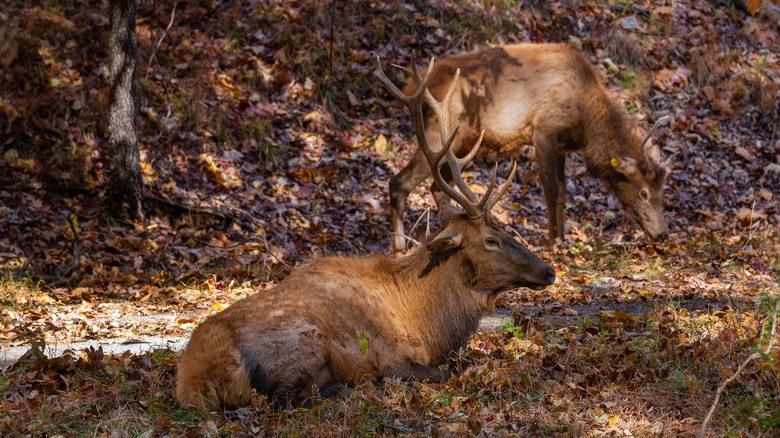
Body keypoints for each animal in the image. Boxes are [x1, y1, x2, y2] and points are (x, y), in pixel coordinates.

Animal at [175, 56, 557, 411]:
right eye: (491, 240)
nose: (549, 270)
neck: (428, 323)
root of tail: (197, 377)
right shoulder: (392, 358)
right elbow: (453, 369)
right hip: (302, 340)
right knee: (284, 399)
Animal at [387, 43, 672, 252]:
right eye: (644, 192)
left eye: (662, 191)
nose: (662, 234)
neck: (584, 120)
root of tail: (414, 84)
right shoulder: (543, 130)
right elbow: (551, 189)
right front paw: (553, 241)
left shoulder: (561, 146)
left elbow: (562, 192)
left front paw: (561, 238)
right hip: (442, 135)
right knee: (399, 182)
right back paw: (400, 246)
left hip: (459, 145)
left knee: (437, 188)